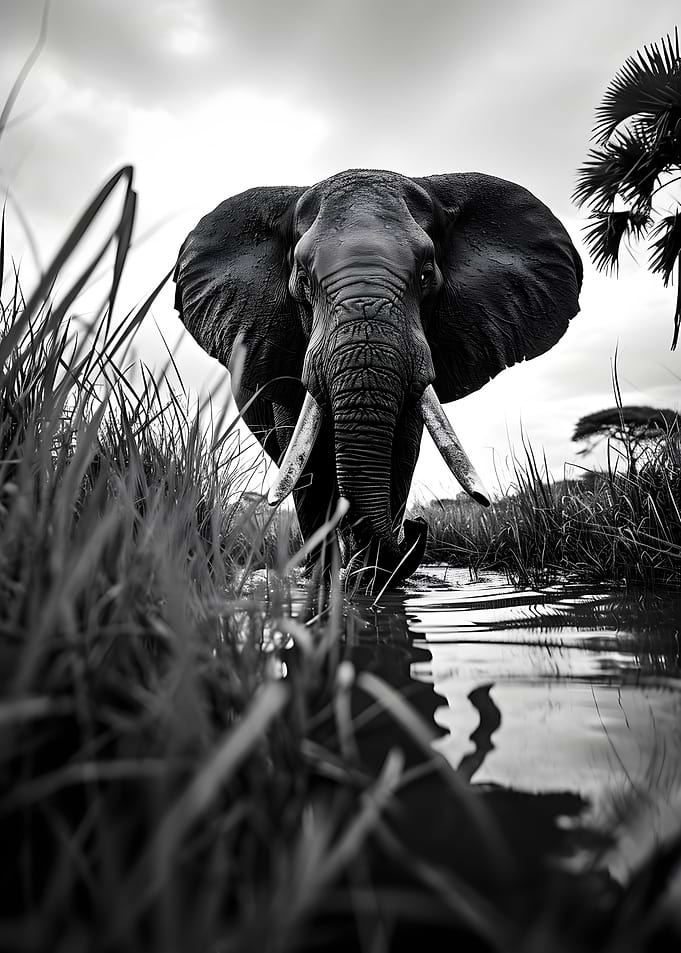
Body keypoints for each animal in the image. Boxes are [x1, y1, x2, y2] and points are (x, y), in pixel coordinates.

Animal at [173, 169, 582, 587]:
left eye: (426, 274)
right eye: (302, 279)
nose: (417, 525)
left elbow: (402, 447)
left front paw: (372, 581)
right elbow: (309, 464)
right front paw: (330, 582)